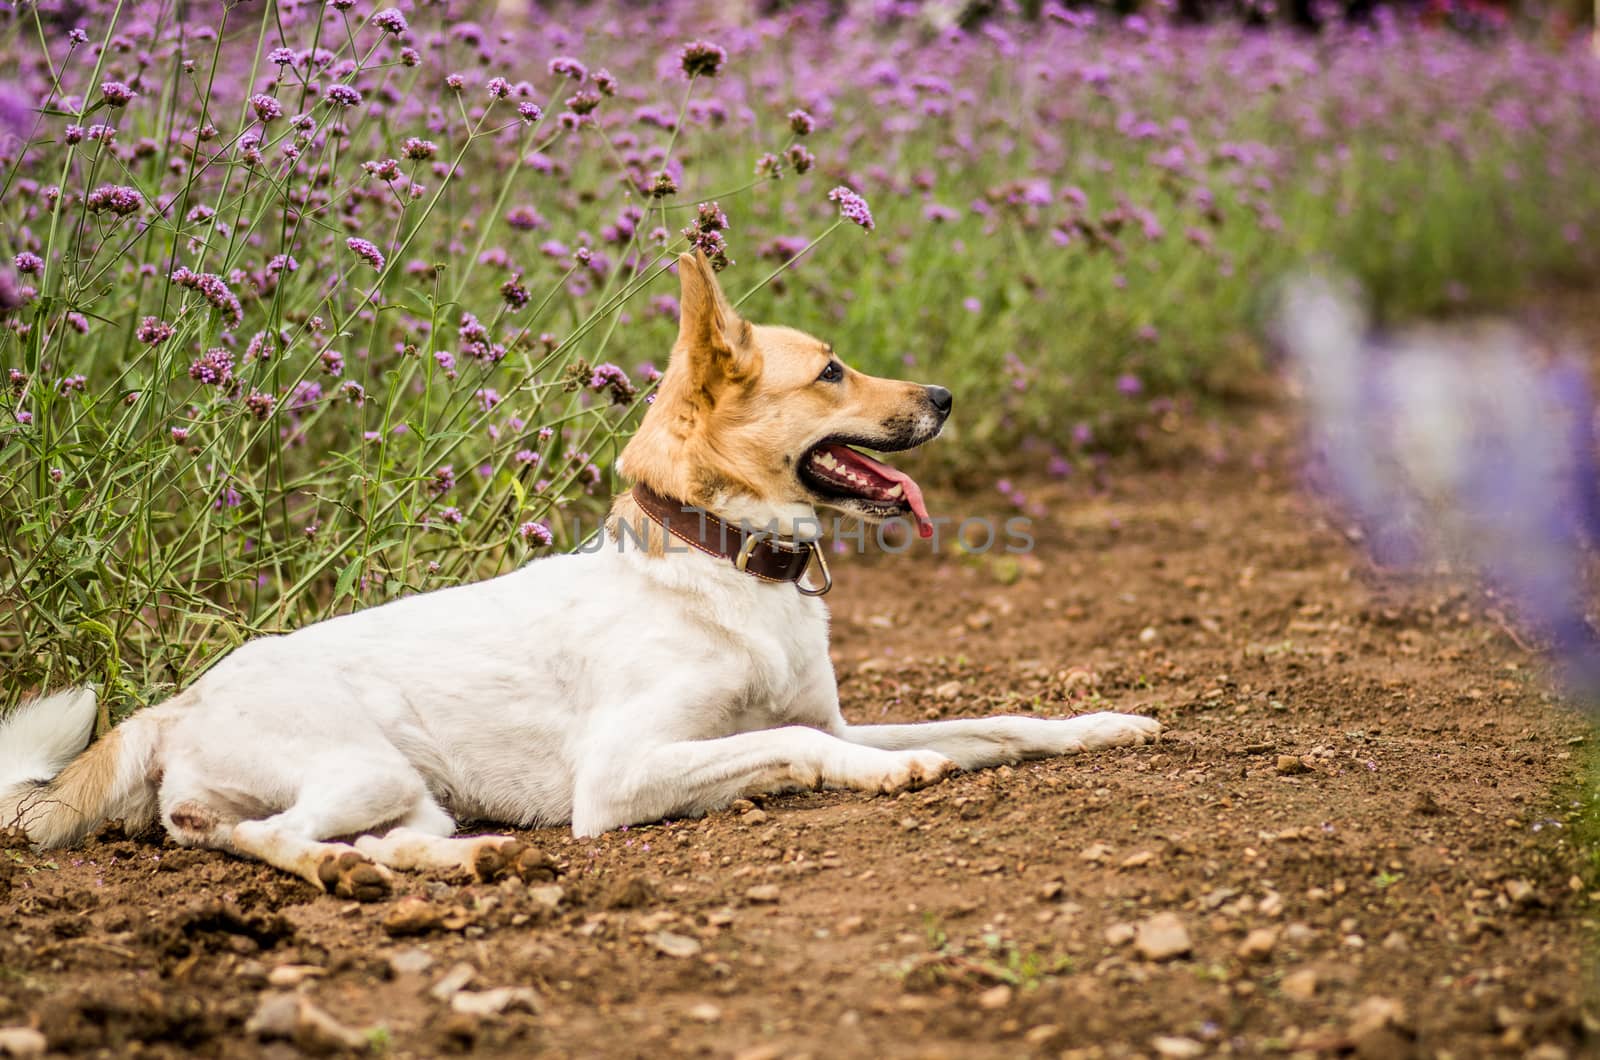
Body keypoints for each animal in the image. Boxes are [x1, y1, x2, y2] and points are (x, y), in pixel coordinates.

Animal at [6, 252, 1171, 903]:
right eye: (832, 370)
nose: (943, 397)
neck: (721, 567)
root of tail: (174, 701)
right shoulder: (622, 775)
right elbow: (800, 748)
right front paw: (887, 777)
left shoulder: (837, 717)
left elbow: (1001, 725)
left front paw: (1103, 726)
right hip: (359, 765)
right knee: (268, 838)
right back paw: (352, 873)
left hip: (412, 793)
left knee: (350, 836)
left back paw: (454, 865)